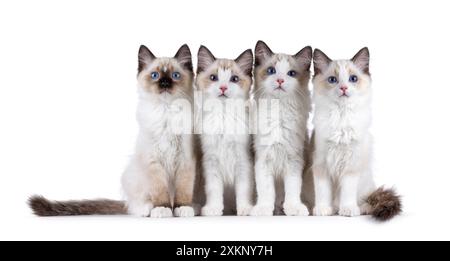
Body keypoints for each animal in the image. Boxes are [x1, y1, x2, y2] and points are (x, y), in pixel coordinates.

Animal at [28, 43, 197, 216]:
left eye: (175, 75)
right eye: (155, 75)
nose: (164, 83)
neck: (166, 112)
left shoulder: (185, 160)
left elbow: (183, 191)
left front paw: (182, 208)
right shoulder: (153, 161)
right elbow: (160, 191)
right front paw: (162, 209)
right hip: (133, 174)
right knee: (134, 205)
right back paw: (146, 209)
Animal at [196, 45, 255, 215]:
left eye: (234, 79)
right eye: (213, 78)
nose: (223, 88)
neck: (223, 116)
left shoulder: (244, 162)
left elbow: (243, 189)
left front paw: (245, 208)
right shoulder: (211, 162)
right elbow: (214, 190)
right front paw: (213, 209)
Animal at [251, 40, 312, 215]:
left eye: (291, 73)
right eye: (271, 71)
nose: (280, 80)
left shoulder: (294, 161)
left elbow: (292, 189)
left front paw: (293, 208)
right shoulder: (263, 160)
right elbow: (266, 191)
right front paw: (263, 209)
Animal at [304, 47, 402, 219]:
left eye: (353, 78)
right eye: (333, 80)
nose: (343, 88)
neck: (341, 118)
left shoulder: (351, 164)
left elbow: (347, 192)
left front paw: (348, 210)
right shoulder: (321, 163)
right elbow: (323, 192)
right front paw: (323, 209)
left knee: (367, 200)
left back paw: (360, 208)